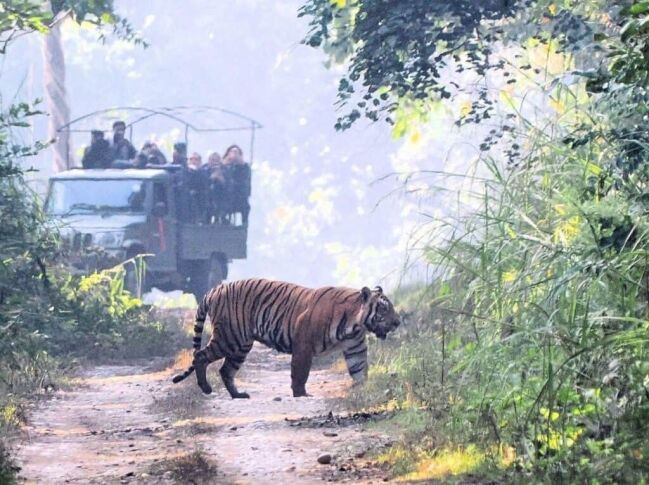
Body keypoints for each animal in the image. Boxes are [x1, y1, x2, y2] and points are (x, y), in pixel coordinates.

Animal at [172, 278, 400, 398]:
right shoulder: (304, 344)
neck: (355, 324)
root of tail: (214, 290)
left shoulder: (355, 347)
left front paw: (364, 390)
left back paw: (238, 394)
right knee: (200, 356)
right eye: (383, 308)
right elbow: (300, 372)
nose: (398, 322)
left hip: (241, 345)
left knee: (225, 370)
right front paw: (301, 394)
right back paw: (205, 388)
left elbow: (359, 369)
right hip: (229, 337)